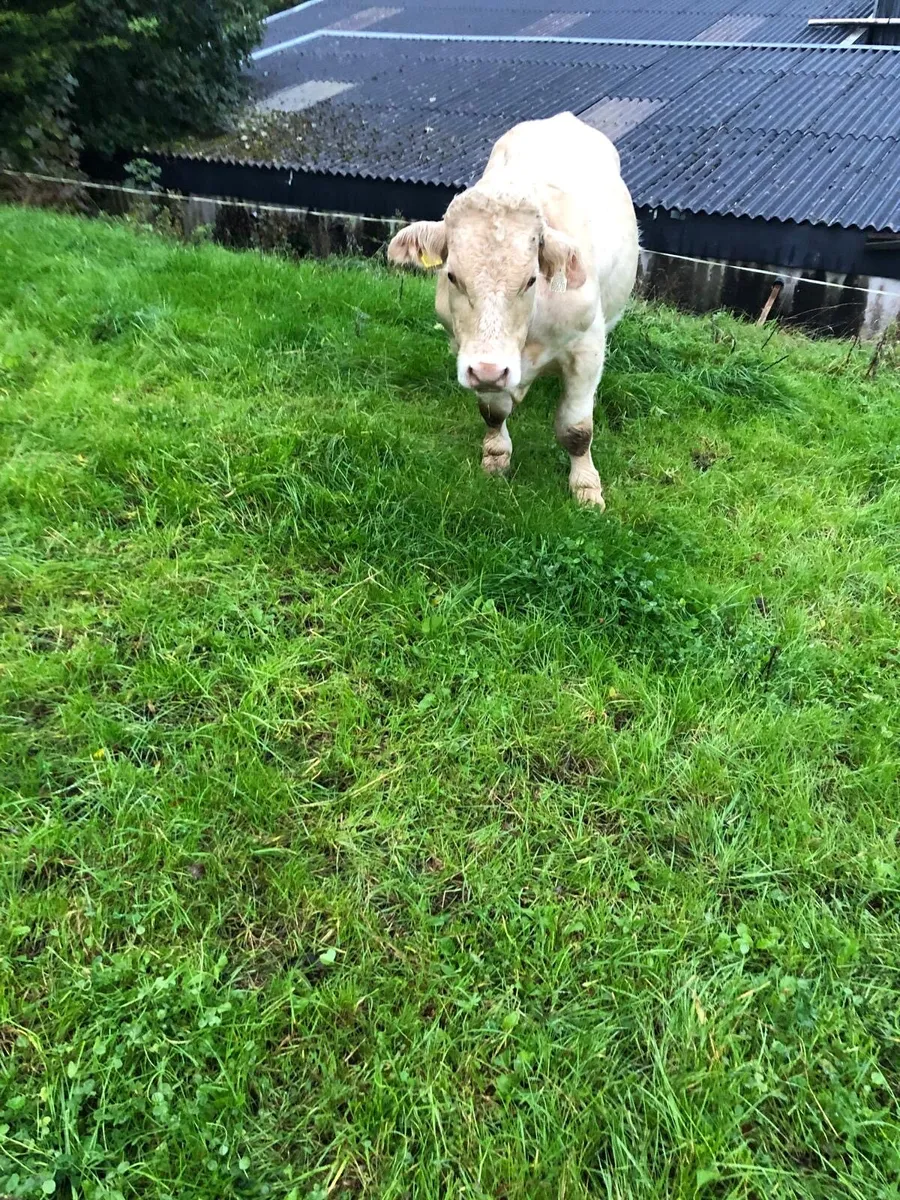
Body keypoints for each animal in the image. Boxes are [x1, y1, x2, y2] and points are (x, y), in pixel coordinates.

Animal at [387, 112, 640, 509]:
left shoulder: (587, 346)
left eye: (531, 279)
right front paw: (496, 457)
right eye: (452, 276)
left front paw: (586, 489)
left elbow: (576, 428)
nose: (490, 370)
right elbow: (493, 411)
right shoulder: (474, 356)